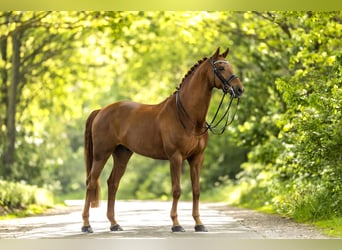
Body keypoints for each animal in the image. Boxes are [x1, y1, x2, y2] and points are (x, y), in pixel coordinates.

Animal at [82, 47, 244, 233]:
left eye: (230, 66)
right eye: (221, 68)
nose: (240, 89)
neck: (187, 116)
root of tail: (101, 111)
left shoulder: (197, 158)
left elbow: (196, 190)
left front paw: (199, 224)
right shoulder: (176, 157)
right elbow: (176, 190)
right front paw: (176, 224)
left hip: (122, 154)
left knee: (113, 183)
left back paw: (114, 224)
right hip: (101, 154)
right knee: (91, 183)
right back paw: (86, 225)